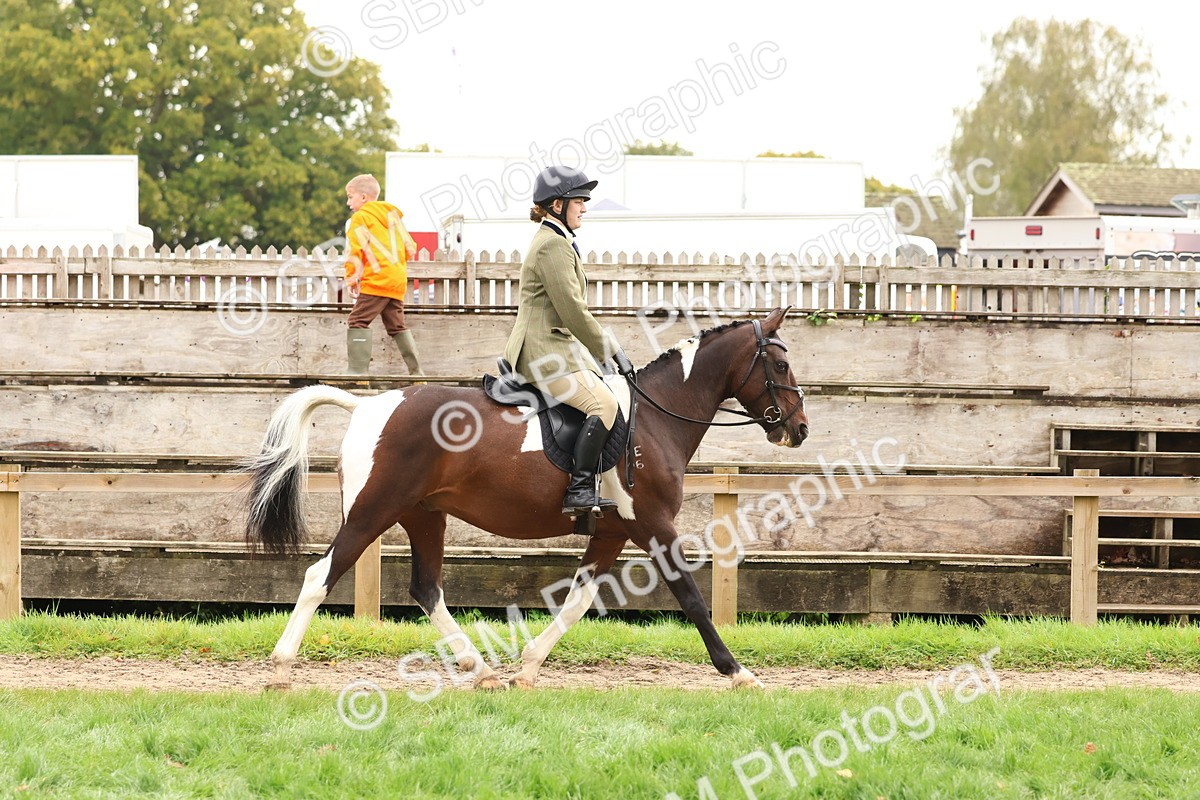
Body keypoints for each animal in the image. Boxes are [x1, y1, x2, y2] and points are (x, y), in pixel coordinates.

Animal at [245, 306, 809, 691]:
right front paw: (738, 673)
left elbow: (578, 601)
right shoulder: (651, 524)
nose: (800, 429)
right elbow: (691, 597)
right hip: (372, 512)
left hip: (424, 516)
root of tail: (366, 405)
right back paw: (280, 667)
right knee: (321, 575)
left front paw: (529, 666)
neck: (654, 417)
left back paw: (479, 668)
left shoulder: (611, 532)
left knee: (427, 589)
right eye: (781, 366)